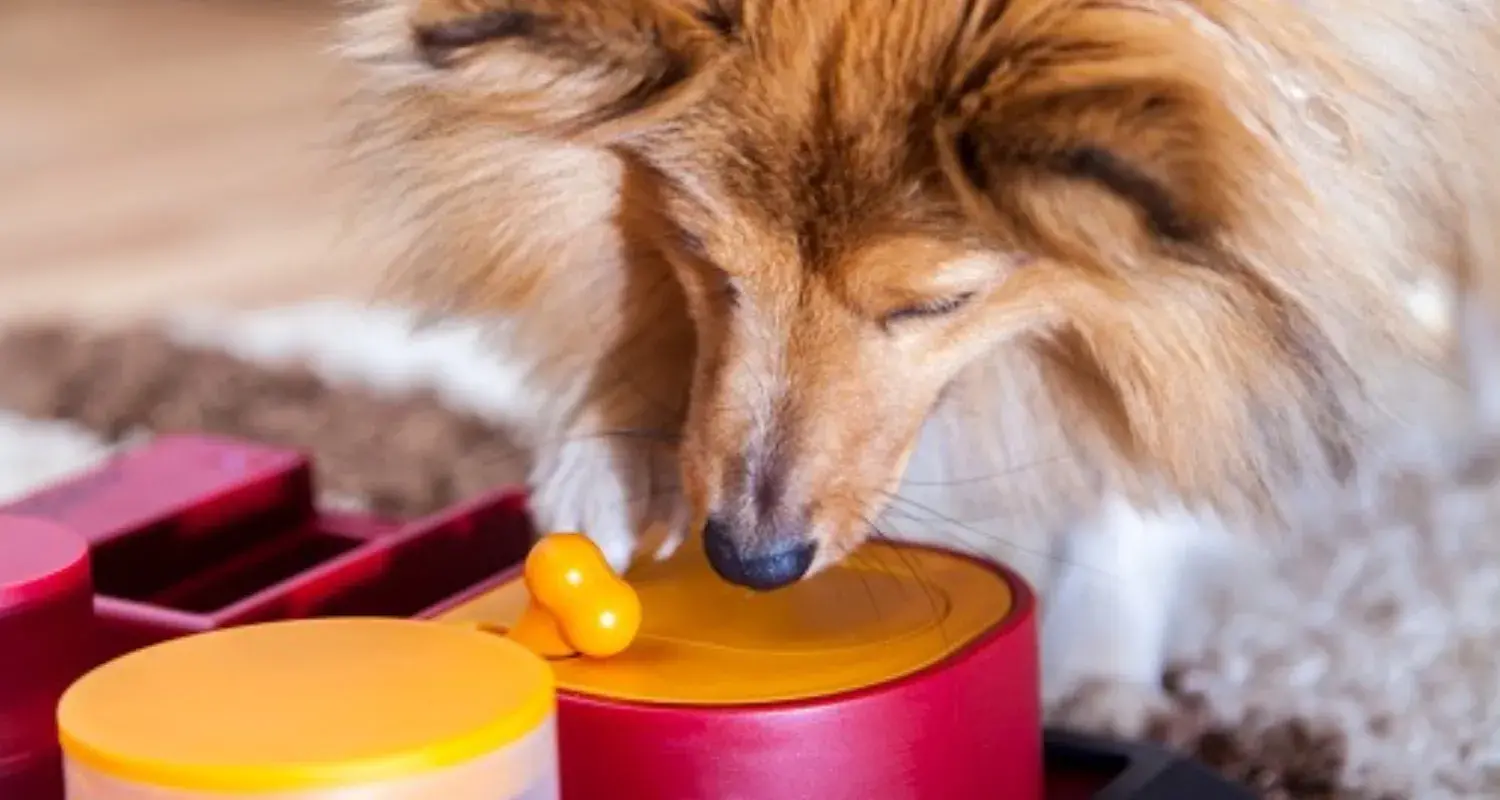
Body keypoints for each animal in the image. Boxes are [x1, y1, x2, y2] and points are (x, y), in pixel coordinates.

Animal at [340, 0, 1500, 723]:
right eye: (706, 258)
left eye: (936, 302)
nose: (748, 562)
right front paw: (608, 464)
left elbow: (1171, 420)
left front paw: (1098, 664)